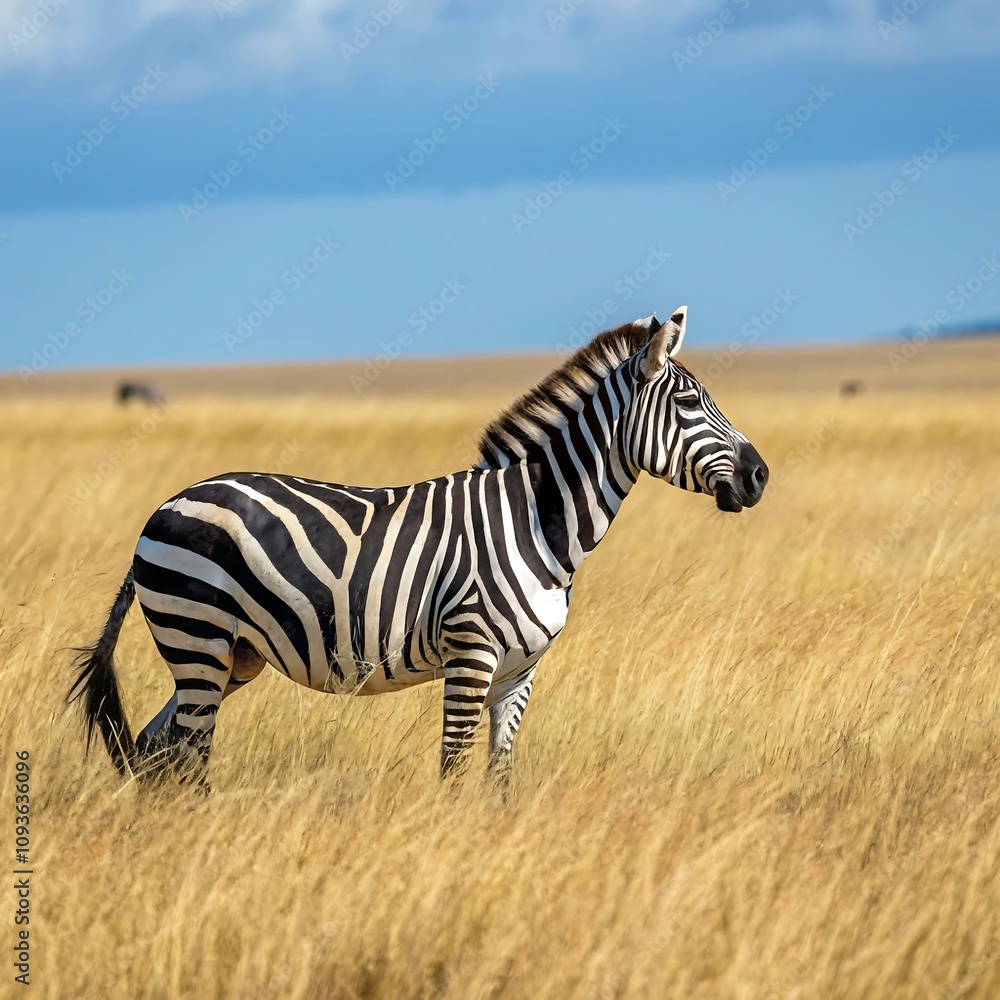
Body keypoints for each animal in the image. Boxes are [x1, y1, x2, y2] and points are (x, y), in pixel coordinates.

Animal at [69, 307, 768, 788]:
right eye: (688, 401)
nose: (761, 476)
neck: (538, 522)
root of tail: (165, 505)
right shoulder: (471, 652)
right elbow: (453, 769)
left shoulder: (519, 670)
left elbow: (499, 776)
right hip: (199, 635)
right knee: (188, 756)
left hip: (230, 654)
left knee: (157, 748)